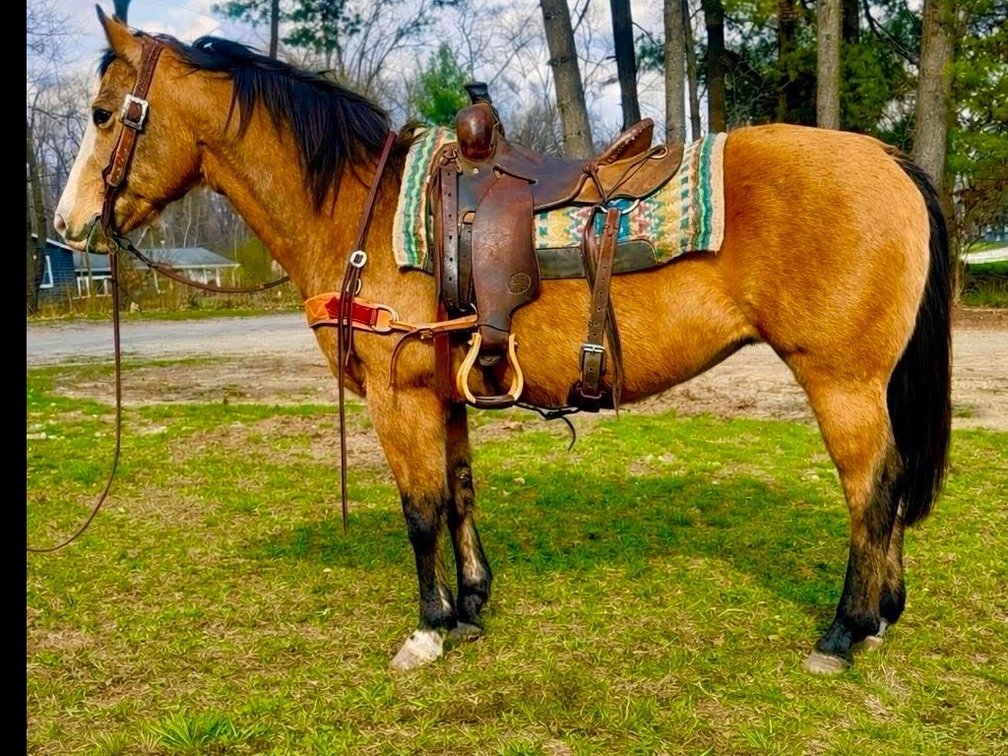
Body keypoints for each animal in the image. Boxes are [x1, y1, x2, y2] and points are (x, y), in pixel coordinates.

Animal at [53, 7, 952, 674]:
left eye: (102, 114)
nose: (67, 225)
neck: (363, 210)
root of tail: (888, 158)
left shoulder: (399, 399)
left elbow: (418, 511)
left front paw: (427, 629)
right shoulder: (444, 395)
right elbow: (458, 494)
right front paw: (472, 608)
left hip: (840, 380)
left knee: (871, 490)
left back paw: (844, 630)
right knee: (891, 483)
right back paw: (882, 617)